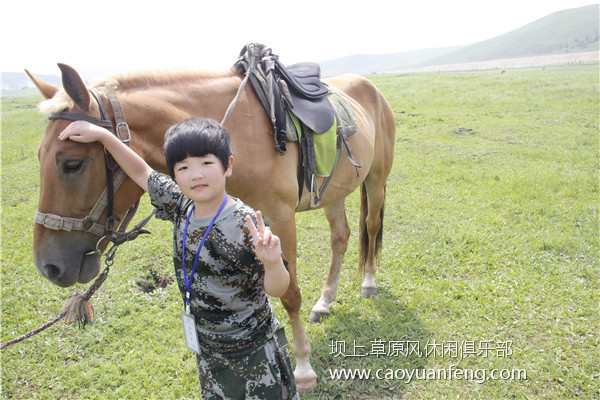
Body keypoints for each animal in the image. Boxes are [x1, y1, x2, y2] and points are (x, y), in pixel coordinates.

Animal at [28, 61, 396, 392]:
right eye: (39, 157)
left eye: (71, 164)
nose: (49, 266)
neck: (238, 137)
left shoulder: (279, 217)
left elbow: (290, 294)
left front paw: (303, 368)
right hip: (334, 190)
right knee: (340, 237)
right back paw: (325, 300)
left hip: (376, 178)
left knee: (371, 225)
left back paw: (368, 282)